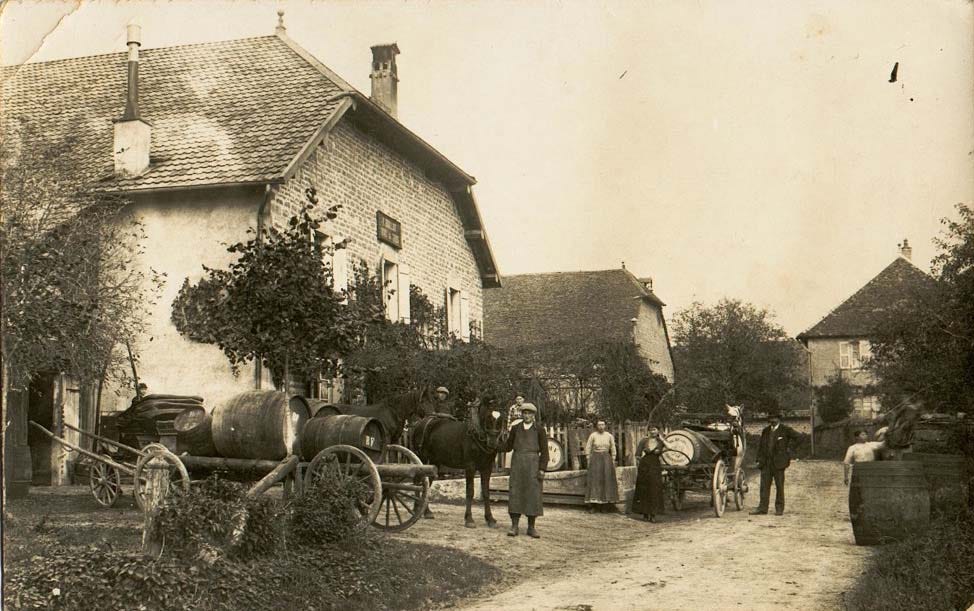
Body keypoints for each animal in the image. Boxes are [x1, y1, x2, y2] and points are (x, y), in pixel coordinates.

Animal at [412, 397, 508, 528]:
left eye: (501, 419)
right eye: (488, 417)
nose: (493, 443)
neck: (476, 434)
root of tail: (419, 424)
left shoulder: (487, 468)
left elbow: (486, 492)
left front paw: (490, 519)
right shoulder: (470, 467)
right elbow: (470, 491)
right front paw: (469, 519)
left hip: (434, 461)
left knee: (427, 482)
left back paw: (425, 511)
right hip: (422, 458)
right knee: (418, 480)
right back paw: (417, 508)